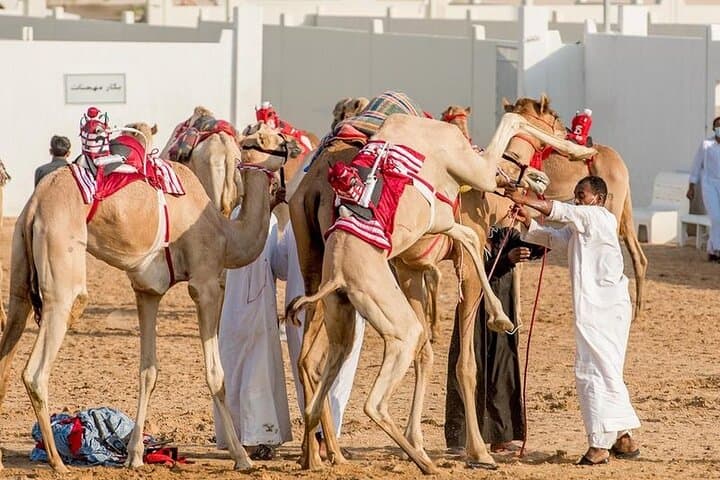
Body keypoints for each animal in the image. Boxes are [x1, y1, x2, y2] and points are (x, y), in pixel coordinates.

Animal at [0, 121, 292, 472]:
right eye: (271, 137)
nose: (292, 144)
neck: (226, 236)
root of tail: (35, 203)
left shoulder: (147, 291)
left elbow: (147, 371)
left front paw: (135, 455)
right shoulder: (206, 284)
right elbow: (216, 376)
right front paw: (242, 457)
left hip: (20, 266)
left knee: (11, 332)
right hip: (60, 261)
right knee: (39, 363)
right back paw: (58, 462)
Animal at [287, 111, 596, 473]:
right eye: (556, 123)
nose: (539, 180)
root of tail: (337, 276)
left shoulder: (421, 250)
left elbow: (429, 351)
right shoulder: (471, 182)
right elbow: (512, 120)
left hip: (338, 308)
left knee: (318, 367)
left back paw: (323, 456)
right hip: (395, 324)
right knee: (375, 397)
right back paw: (420, 462)